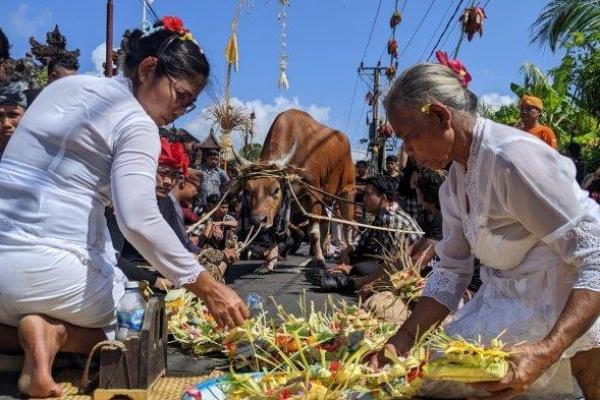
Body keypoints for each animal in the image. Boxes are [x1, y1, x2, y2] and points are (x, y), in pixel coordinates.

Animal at [234, 108, 356, 268]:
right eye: (248, 190)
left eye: (275, 190)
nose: (258, 220)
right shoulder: (287, 201)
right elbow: (276, 231)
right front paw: (269, 261)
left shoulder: (313, 194)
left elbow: (313, 232)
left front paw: (319, 260)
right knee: (325, 222)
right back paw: (322, 252)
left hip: (346, 190)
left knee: (347, 223)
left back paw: (343, 252)